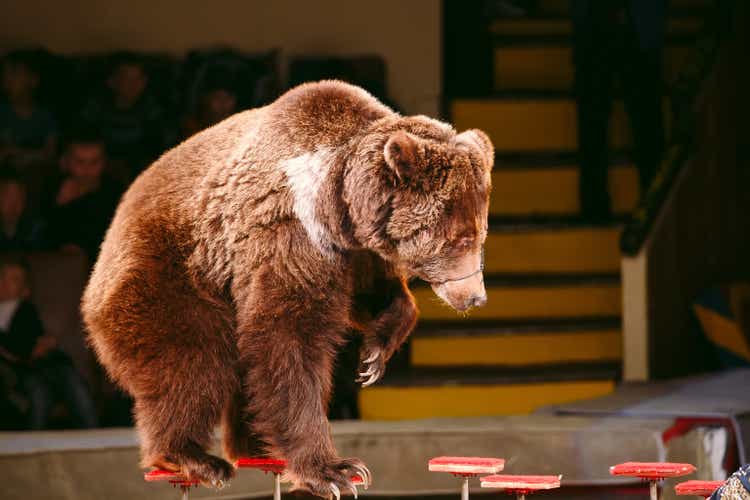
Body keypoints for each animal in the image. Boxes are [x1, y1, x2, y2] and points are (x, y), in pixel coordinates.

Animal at [81, 81, 494, 496]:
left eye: (480, 235)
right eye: (461, 238)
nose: (475, 297)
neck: (339, 203)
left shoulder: (353, 250)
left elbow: (373, 293)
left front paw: (372, 357)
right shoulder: (290, 235)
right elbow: (289, 337)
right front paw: (335, 470)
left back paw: (254, 445)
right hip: (171, 273)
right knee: (191, 360)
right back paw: (193, 457)